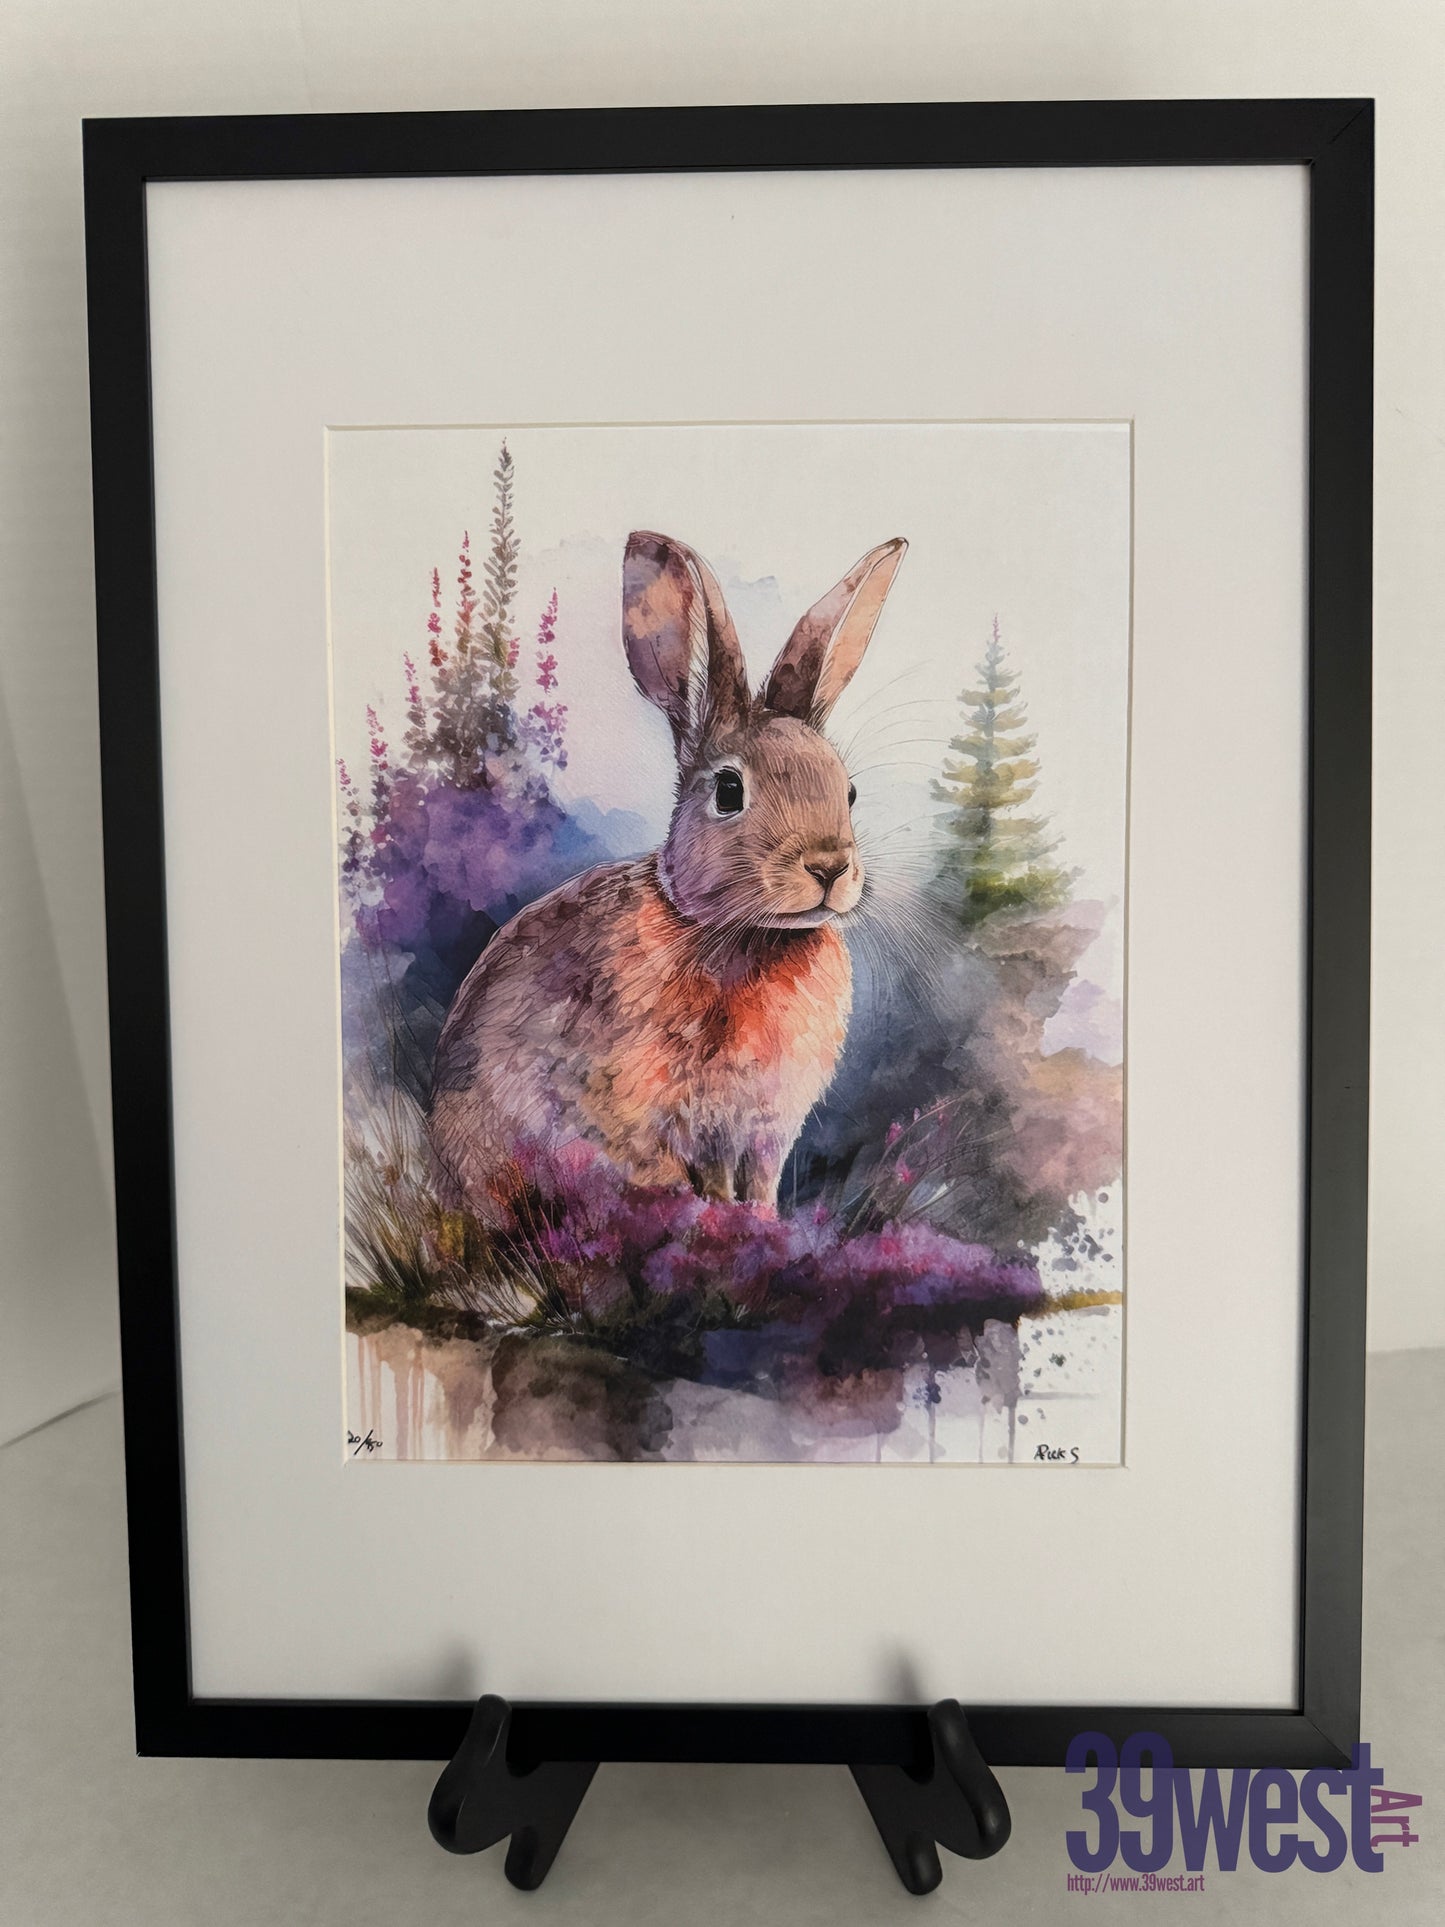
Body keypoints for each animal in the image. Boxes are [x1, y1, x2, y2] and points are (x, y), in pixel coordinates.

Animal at [427, 528, 907, 1222]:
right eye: (730, 791)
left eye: (848, 792)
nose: (829, 867)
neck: (741, 933)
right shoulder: (679, 1115)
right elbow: (705, 1178)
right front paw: (723, 1223)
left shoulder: (763, 1128)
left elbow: (759, 1183)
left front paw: (763, 1224)